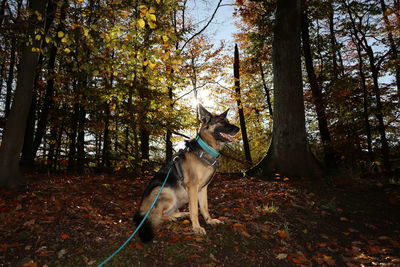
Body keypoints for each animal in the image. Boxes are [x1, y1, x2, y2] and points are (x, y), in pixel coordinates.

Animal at [134, 104, 241, 243]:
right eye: (222, 122)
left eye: (227, 121)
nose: (238, 129)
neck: (205, 148)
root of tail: (141, 210)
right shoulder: (193, 188)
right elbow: (195, 210)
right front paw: (196, 227)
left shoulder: (203, 188)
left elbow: (204, 207)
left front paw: (209, 220)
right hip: (165, 192)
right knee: (158, 216)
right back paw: (171, 217)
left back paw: (181, 214)